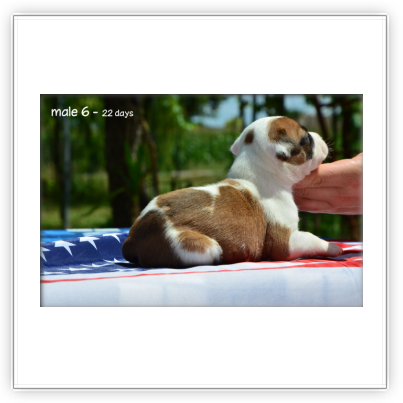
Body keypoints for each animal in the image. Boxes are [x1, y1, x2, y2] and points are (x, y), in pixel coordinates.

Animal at [122, 116, 343, 268]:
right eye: (306, 138)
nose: (319, 137)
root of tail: (132, 239)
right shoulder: (286, 242)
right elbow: (311, 238)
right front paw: (332, 247)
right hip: (198, 245)